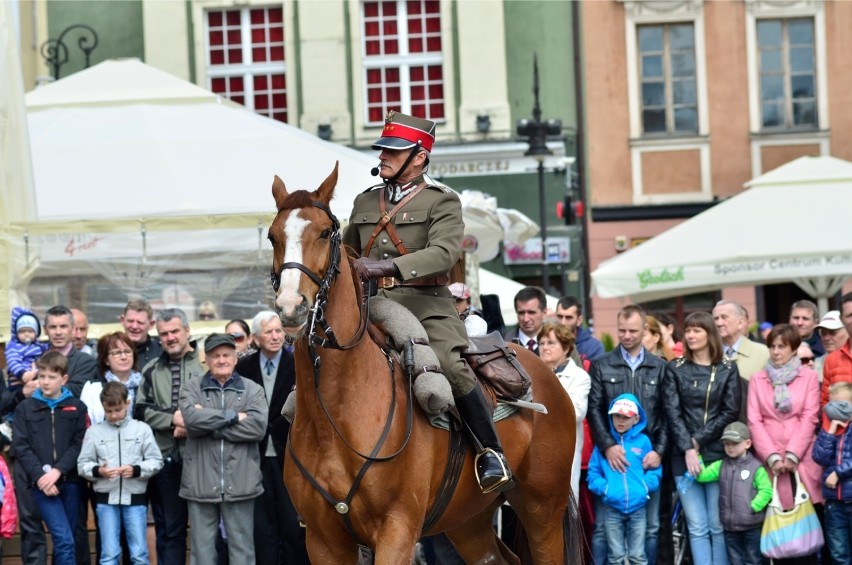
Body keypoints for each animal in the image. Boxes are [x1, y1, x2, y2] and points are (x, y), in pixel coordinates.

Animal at [270, 162, 584, 560]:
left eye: (325, 233)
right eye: (272, 236)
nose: (290, 308)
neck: (337, 414)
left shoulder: (398, 531)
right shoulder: (322, 540)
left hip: (543, 510)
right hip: (469, 521)